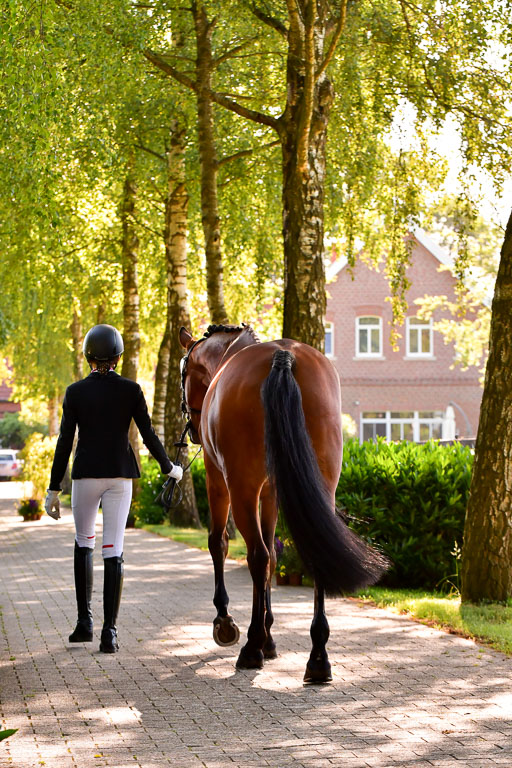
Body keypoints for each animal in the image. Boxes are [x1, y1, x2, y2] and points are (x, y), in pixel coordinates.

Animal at [179, 323, 388, 683]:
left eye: (183, 373)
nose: (191, 429)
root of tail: (284, 356)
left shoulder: (217, 478)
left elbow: (220, 544)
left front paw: (228, 624)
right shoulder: (274, 491)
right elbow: (275, 556)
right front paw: (269, 636)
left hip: (241, 486)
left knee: (256, 556)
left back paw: (251, 648)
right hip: (320, 482)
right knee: (307, 551)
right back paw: (317, 658)